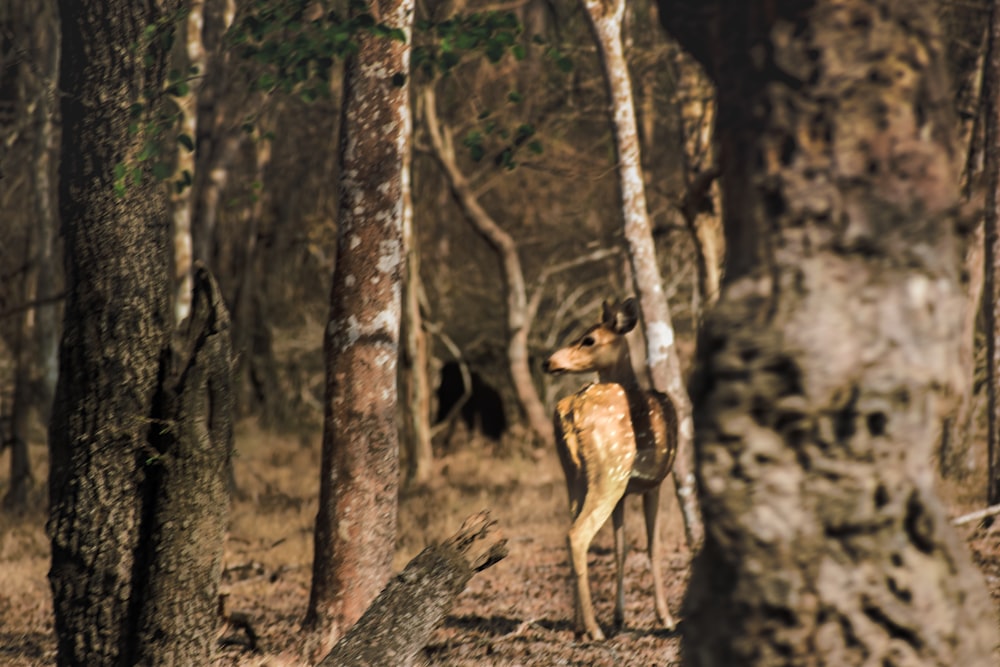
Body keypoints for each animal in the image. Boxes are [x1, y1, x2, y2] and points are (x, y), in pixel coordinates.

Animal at [540, 298, 680, 640]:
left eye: (589, 339)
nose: (548, 362)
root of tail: (568, 410)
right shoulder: (654, 483)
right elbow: (652, 547)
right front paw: (665, 617)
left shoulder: (628, 491)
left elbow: (621, 547)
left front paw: (620, 616)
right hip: (609, 472)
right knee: (577, 535)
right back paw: (593, 629)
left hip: (576, 476)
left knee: (571, 531)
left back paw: (579, 625)